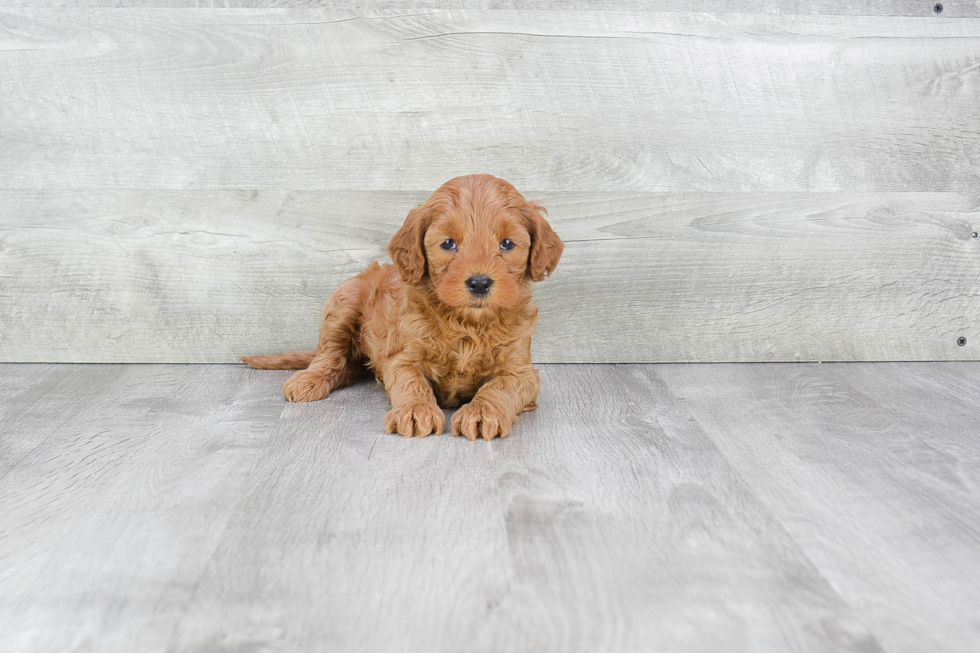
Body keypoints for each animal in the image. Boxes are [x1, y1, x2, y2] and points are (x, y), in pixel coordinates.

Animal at [244, 173, 564, 440]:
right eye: (448, 243)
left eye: (507, 244)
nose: (479, 283)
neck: (466, 323)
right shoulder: (402, 358)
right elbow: (412, 382)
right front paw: (415, 411)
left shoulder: (521, 371)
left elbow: (500, 387)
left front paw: (482, 412)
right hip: (345, 299)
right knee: (330, 356)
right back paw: (309, 379)